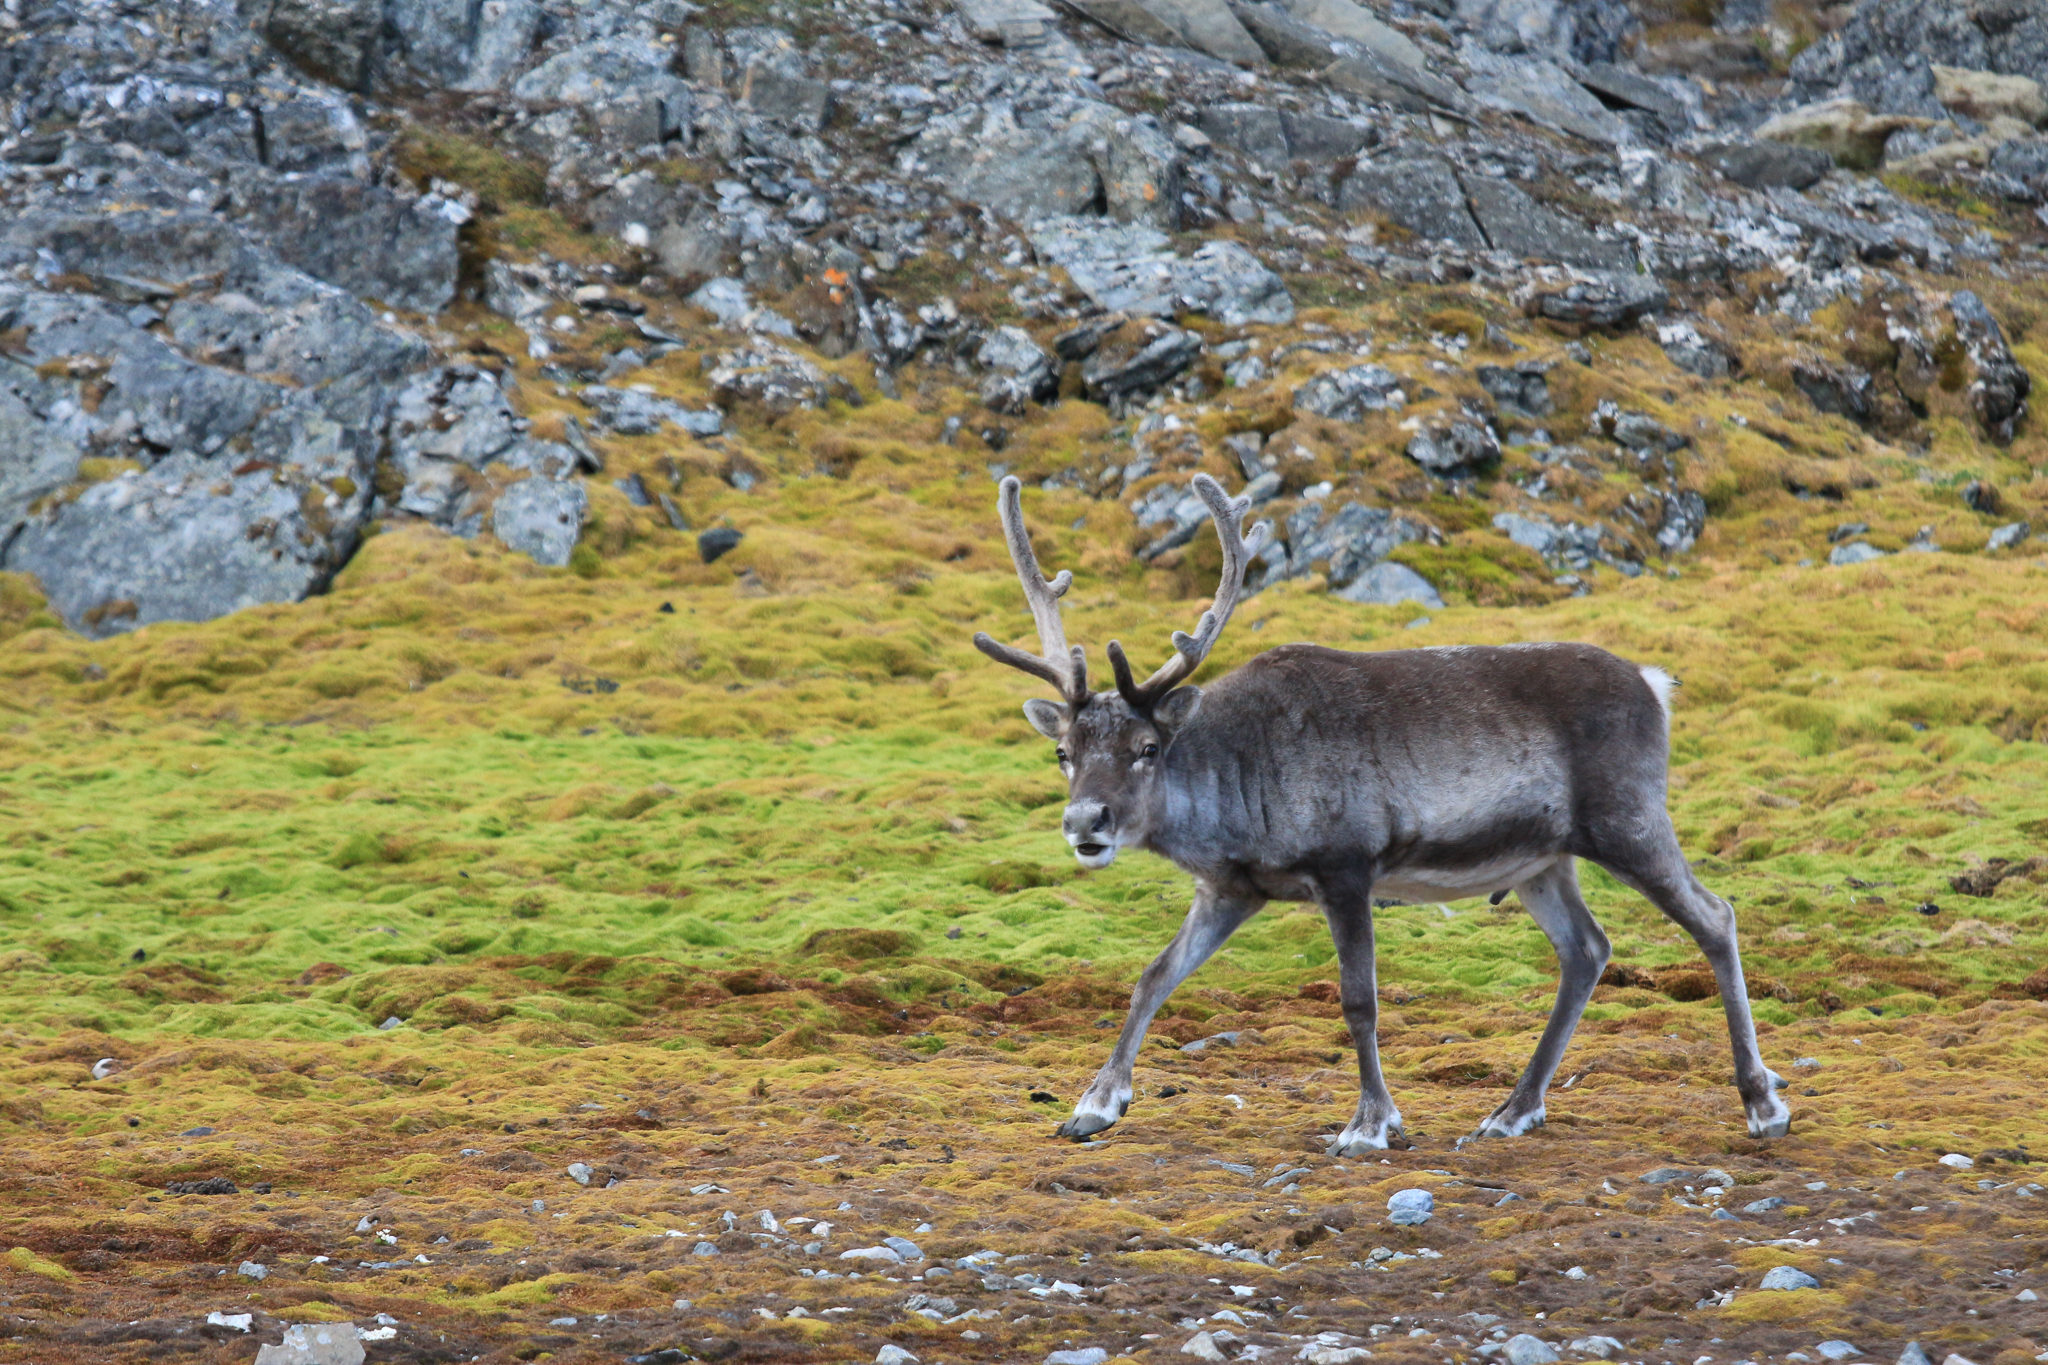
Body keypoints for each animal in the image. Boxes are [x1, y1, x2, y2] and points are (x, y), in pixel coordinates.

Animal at [972, 473, 1790, 1152]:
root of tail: (1657, 684)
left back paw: (1761, 1103)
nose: (1086, 823)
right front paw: (1095, 1103)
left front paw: (1370, 1122)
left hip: (1628, 820)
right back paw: (1512, 1110)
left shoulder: (1347, 866)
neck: (1234, 778)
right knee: (1587, 948)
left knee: (1714, 916)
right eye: (1064, 752)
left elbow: (1358, 1000)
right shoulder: (1232, 888)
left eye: (1146, 747)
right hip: (1542, 859)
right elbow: (1154, 975)